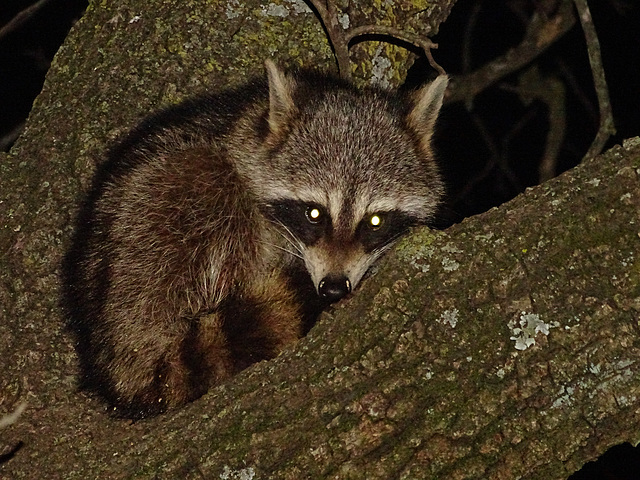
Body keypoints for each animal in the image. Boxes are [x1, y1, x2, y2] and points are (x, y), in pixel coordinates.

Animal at [62, 60, 448, 418]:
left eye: (375, 221)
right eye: (314, 213)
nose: (334, 288)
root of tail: (114, 351)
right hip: (153, 234)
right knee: (211, 181)